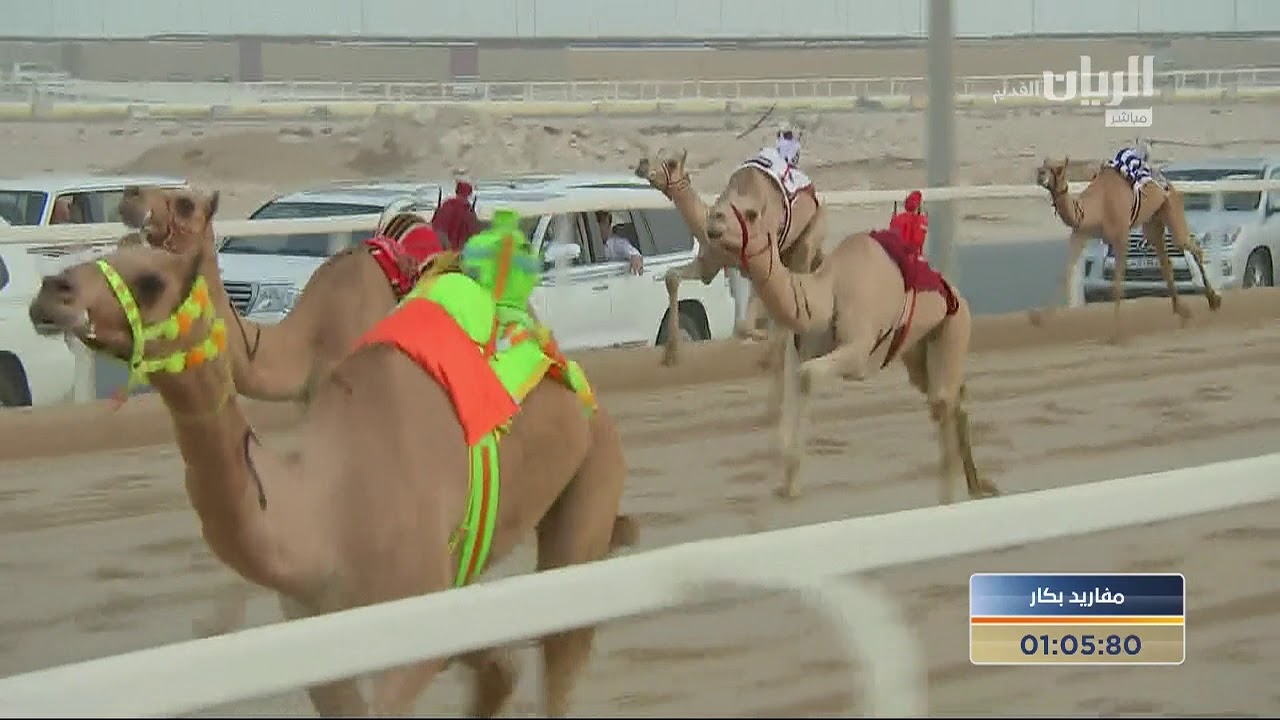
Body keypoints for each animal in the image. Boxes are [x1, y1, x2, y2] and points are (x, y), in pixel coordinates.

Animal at [28, 198, 629, 716]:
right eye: (111, 251)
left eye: (150, 280)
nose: (51, 290)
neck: (324, 515)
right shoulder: (319, 630)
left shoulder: (410, 626)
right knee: (503, 671)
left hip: (595, 476)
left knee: (559, 653)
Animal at [633, 147, 825, 367]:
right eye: (656, 153)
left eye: (672, 163)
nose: (643, 164)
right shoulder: (710, 263)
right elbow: (672, 277)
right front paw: (671, 353)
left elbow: (745, 324)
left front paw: (762, 339)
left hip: (811, 233)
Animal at [703, 171, 1002, 502]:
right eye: (721, 198)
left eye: (752, 213)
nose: (713, 220)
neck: (828, 292)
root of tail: (958, 298)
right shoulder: (800, 350)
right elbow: (798, 380)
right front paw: (789, 485)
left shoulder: (858, 350)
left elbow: (809, 375)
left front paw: (791, 482)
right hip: (918, 352)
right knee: (953, 395)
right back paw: (976, 485)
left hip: (956, 327)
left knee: (942, 402)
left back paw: (950, 497)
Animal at [1030, 157, 1222, 342]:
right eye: (1044, 164)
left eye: (1058, 169)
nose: (1040, 174)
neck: (1097, 207)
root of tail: (1166, 181)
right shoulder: (1081, 234)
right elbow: (1063, 275)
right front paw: (1037, 318)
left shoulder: (1120, 236)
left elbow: (1117, 285)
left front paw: (1115, 335)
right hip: (1153, 221)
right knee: (1166, 263)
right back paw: (1183, 312)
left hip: (1170, 206)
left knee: (1191, 247)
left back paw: (1213, 300)